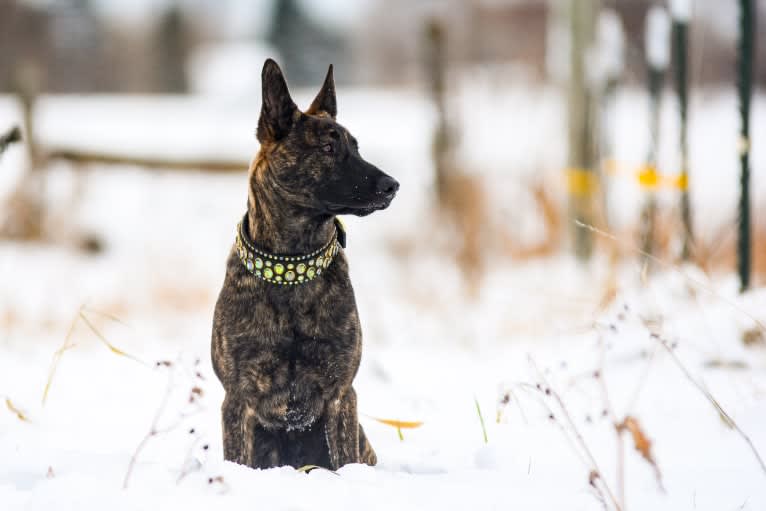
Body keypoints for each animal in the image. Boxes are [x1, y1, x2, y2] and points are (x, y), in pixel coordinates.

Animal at [212, 58, 402, 470]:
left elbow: (343, 456)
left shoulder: (341, 394)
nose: (392, 185)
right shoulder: (238, 400)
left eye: (356, 148)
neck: (292, 267)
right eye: (328, 147)